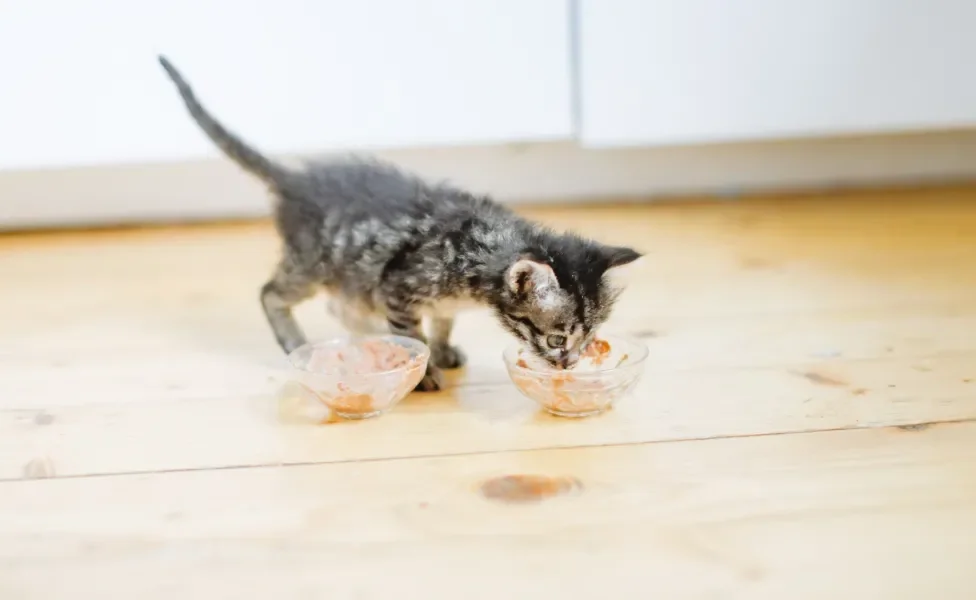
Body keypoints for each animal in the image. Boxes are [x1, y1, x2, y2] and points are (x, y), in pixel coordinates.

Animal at [157, 56, 644, 392]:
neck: (481, 249)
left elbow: (441, 327)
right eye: (558, 340)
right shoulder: (399, 289)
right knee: (271, 294)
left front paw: (443, 351)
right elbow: (416, 335)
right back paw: (297, 342)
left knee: (344, 308)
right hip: (312, 264)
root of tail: (294, 180)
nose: (569, 365)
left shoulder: (437, 303)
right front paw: (424, 371)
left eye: (589, 338)